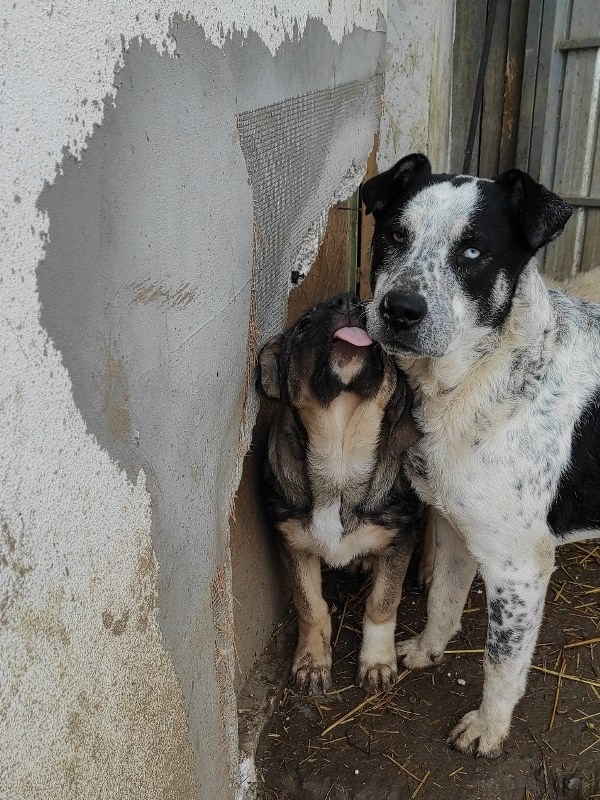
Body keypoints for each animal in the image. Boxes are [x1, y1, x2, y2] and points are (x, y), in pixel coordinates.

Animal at [258, 292, 422, 692]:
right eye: (303, 325)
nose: (347, 299)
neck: (341, 451)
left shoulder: (401, 538)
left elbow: (382, 602)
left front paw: (377, 662)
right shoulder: (293, 544)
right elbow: (310, 606)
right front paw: (311, 663)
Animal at [360, 155, 600, 756]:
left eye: (472, 253)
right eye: (395, 235)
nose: (399, 310)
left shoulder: (519, 566)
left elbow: (501, 660)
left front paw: (489, 727)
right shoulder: (453, 524)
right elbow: (443, 599)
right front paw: (426, 652)